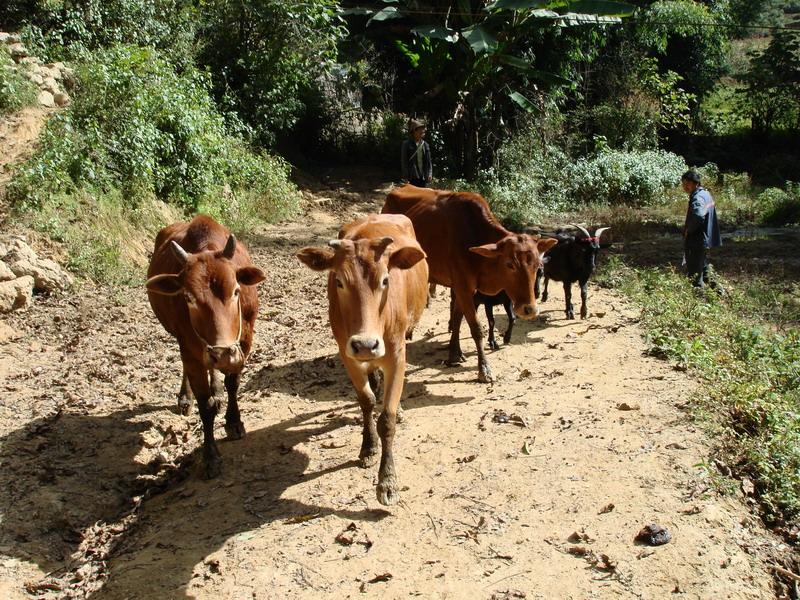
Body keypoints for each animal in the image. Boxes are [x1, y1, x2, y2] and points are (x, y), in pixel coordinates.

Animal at [145, 216, 268, 478]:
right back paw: (185, 398)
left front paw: (234, 422)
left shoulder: (244, 342)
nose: (221, 353)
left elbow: (233, 383)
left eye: (236, 291)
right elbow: (205, 406)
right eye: (188, 298)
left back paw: (217, 390)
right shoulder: (190, 350)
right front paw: (210, 456)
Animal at [296, 213, 428, 504]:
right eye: (339, 282)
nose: (366, 344)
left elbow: (387, 418)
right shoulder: (348, 355)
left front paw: (387, 481)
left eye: (385, 280)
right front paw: (368, 446)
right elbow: (366, 400)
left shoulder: (397, 356)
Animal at [382, 185, 556, 384]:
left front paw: (454, 353)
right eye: (509, 264)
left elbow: (458, 319)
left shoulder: (462, 288)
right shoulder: (463, 288)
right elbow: (476, 328)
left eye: (537, 265)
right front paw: (484, 369)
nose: (529, 309)